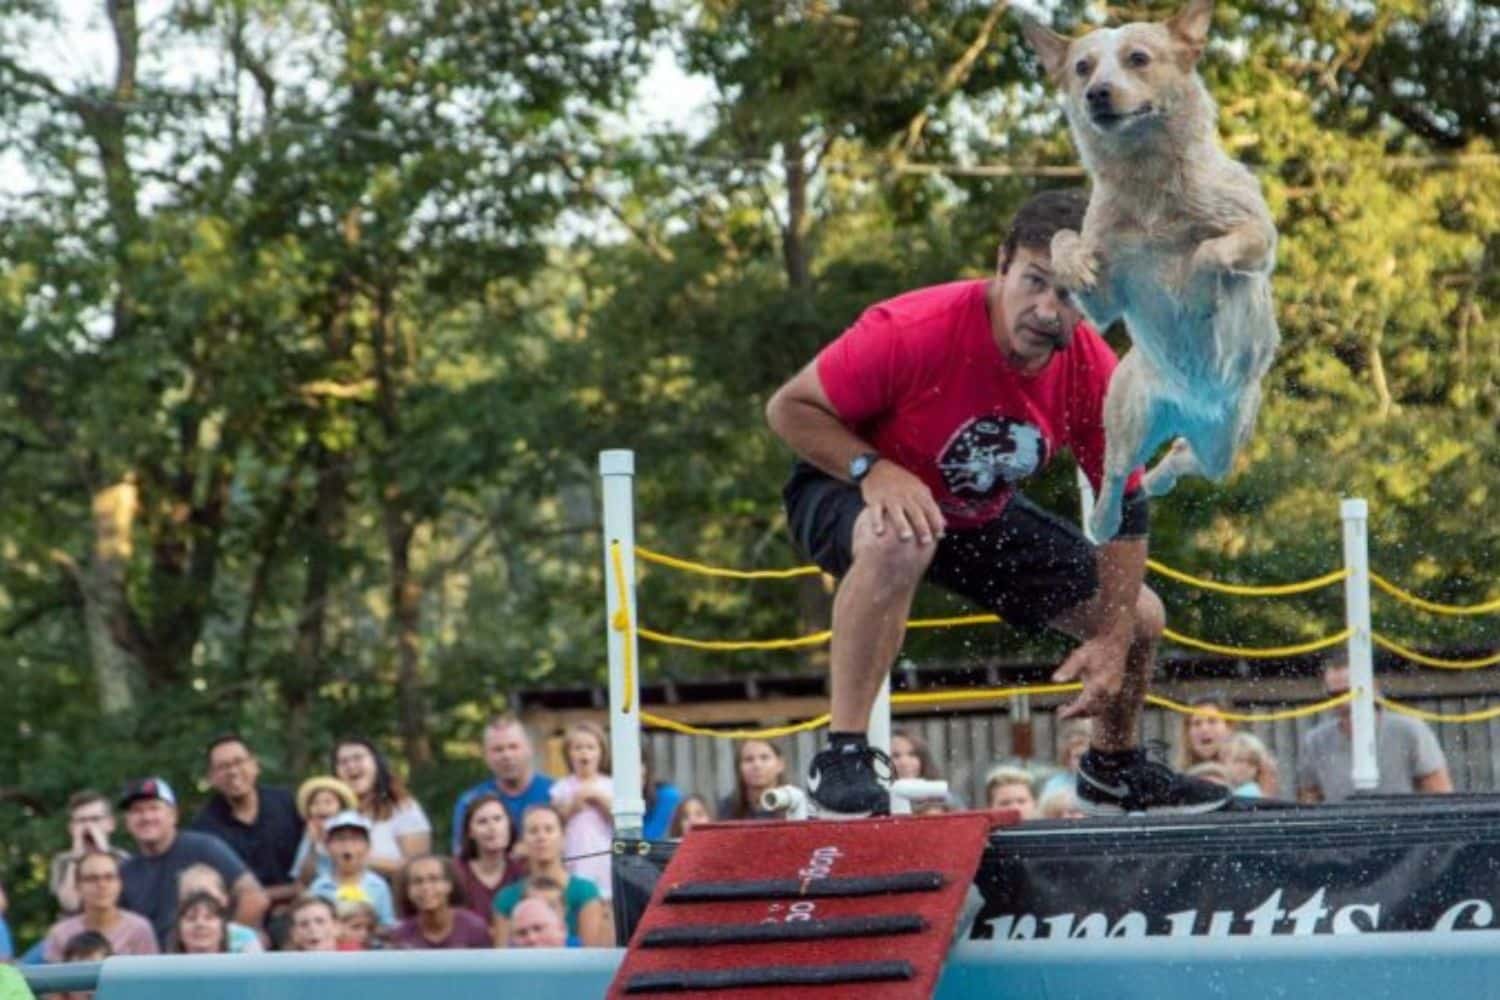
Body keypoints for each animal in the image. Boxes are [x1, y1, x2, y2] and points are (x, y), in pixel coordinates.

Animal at [1020, 1, 1278, 539]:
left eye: (1138, 58)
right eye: (1083, 67)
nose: (1097, 92)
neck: (1148, 182)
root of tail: (1186, 410)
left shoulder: (1258, 239)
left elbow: (1209, 251)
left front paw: (1198, 290)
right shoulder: (1106, 300)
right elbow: (1066, 239)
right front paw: (1074, 264)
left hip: (1225, 437)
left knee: (1186, 458)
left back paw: (1161, 477)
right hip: (1129, 412)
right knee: (1119, 469)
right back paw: (1103, 520)